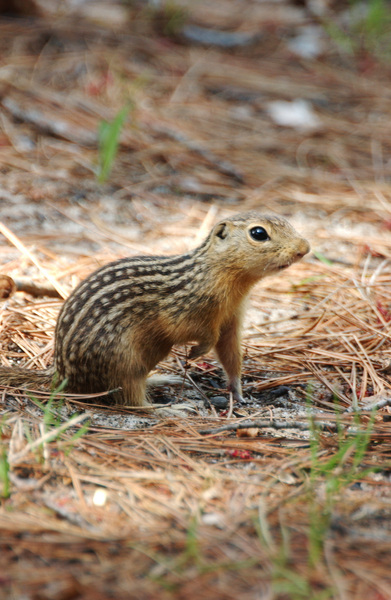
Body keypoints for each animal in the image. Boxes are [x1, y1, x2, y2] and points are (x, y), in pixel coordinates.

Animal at [0, 212, 312, 408]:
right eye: (258, 233)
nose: (305, 248)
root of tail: (62, 375)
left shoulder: (231, 322)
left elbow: (231, 356)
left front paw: (238, 391)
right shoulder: (186, 312)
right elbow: (200, 335)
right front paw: (195, 353)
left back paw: (162, 378)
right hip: (122, 360)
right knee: (133, 402)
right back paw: (171, 409)